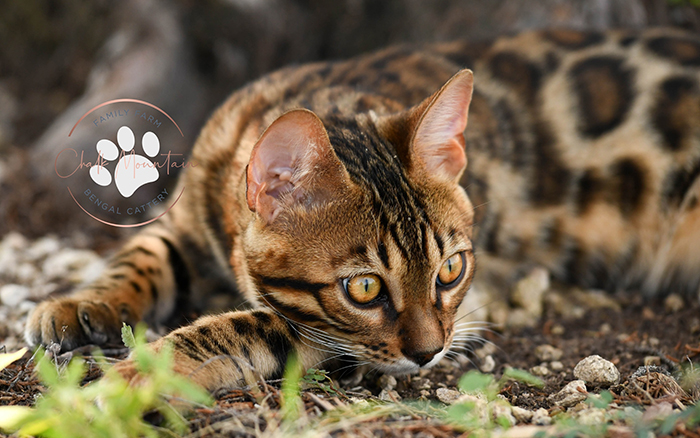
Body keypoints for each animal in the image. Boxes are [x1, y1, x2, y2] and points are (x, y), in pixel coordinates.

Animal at [24, 27, 700, 390]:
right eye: (366, 287)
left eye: (450, 270)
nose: (430, 354)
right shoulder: (188, 225)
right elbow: (141, 252)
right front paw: (80, 304)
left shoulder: (319, 330)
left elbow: (237, 323)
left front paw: (147, 368)